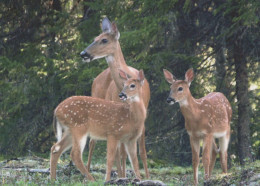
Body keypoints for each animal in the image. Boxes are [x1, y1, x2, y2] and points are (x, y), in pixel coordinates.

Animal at [79, 18, 149, 178]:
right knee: (93, 142)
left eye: (104, 40)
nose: (83, 53)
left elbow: (141, 150)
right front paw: (122, 175)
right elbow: (120, 151)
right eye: (95, 38)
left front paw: (147, 177)